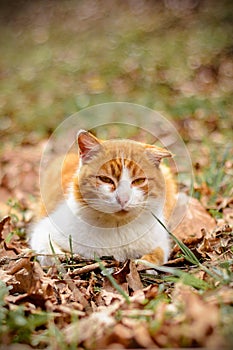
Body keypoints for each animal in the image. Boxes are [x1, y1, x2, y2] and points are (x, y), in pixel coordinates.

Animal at [30, 131, 177, 266]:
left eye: (139, 181)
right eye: (105, 179)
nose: (123, 199)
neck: (117, 227)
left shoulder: (160, 240)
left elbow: (158, 253)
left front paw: (144, 262)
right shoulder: (46, 228)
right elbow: (45, 247)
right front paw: (56, 257)